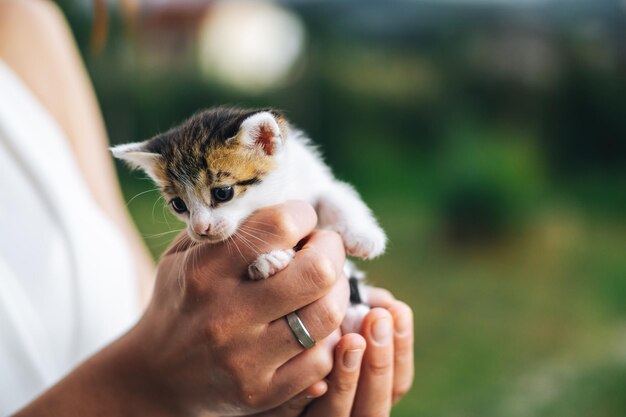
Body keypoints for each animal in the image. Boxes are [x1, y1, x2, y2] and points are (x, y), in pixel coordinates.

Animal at [112, 106, 386, 332]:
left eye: (223, 193)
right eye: (178, 205)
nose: (200, 228)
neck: (275, 195)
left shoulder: (311, 178)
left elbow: (334, 194)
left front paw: (364, 237)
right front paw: (271, 260)